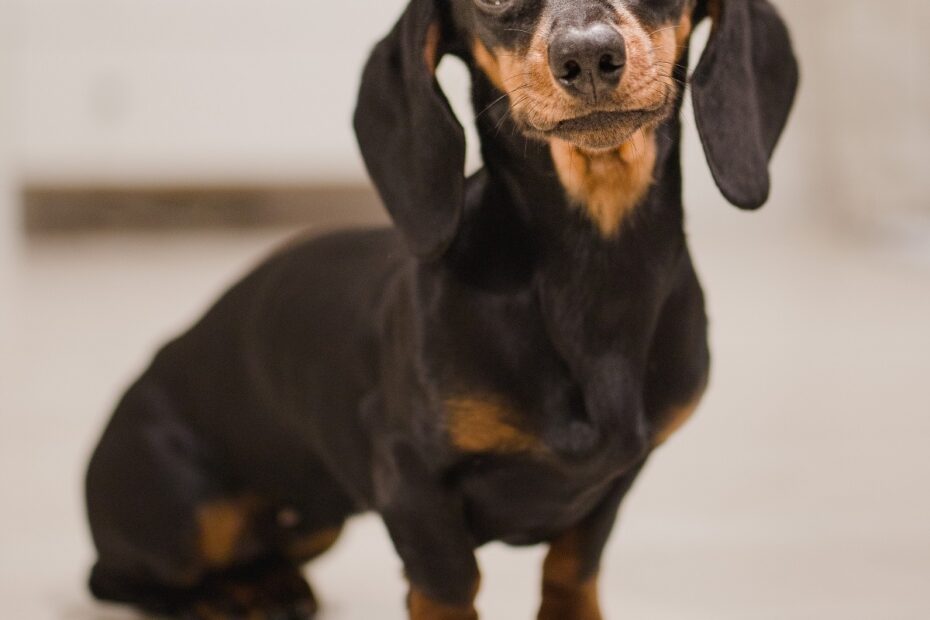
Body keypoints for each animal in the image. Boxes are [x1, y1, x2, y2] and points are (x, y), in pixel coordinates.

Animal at [89, 1, 796, 620]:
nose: (589, 55)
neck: (592, 272)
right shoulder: (408, 476)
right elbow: (450, 584)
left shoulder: (618, 476)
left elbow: (573, 566)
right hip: (182, 514)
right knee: (127, 579)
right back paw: (221, 598)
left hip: (316, 522)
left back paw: (269, 585)